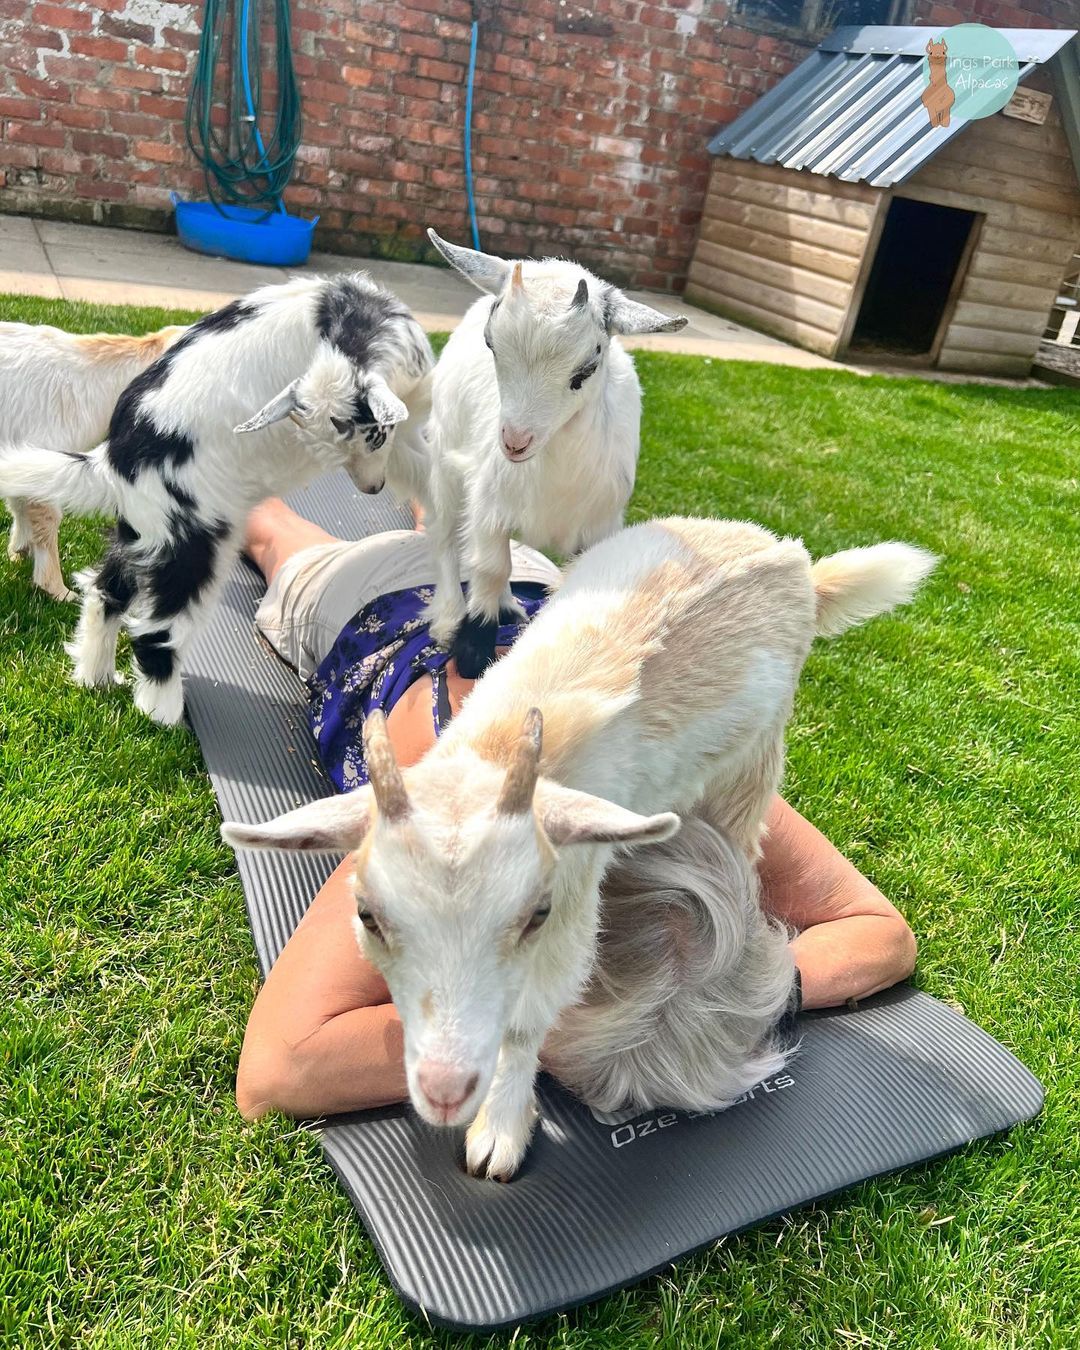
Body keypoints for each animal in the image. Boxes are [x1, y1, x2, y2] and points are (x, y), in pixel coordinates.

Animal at [421, 229, 687, 677]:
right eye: (491, 344)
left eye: (587, 367)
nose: (515, 441)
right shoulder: (488, 505)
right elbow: (490, 567)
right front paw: (473, 651)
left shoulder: (599, 524)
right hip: (445, 460)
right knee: (444, 536)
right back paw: (447, 617)